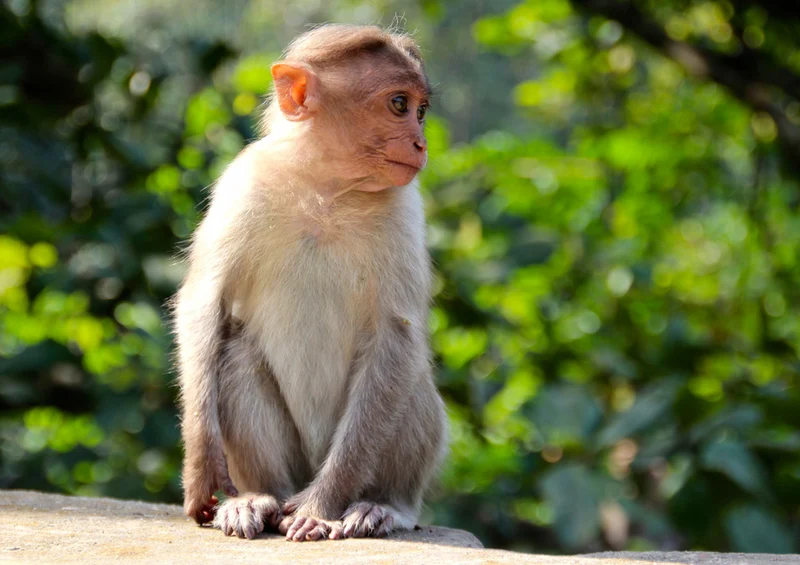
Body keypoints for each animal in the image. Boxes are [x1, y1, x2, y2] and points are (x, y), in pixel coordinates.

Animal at [173, 24, 447, 542]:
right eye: (400, 105)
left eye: (421, 112)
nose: (421, 144)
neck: (328, 188)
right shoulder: (242, 184)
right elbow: (204, 301)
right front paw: (201, 463)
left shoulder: (405, 209)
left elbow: (396, 335)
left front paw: (321, 507)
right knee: (235, 351)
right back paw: (259, 498)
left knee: (408, 373)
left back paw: (382, 506)